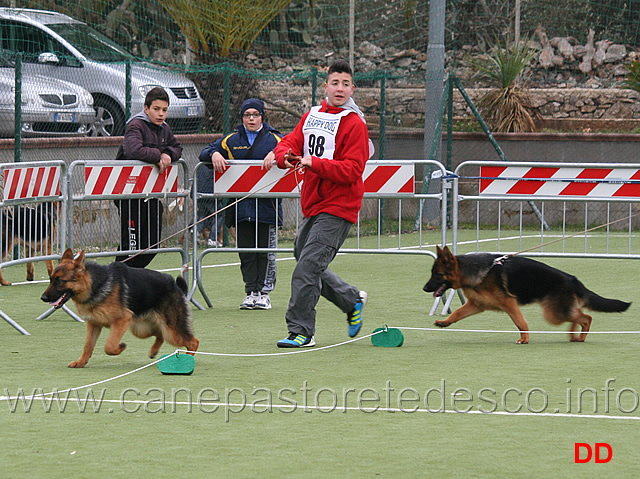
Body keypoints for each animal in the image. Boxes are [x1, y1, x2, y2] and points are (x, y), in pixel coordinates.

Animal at [41, 249, 199, 370]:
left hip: (171, 331)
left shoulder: (121, 320)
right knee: (160, 334)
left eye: (60, 281)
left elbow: (109, 346)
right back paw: (154, 351)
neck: (95, 285)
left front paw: (120, 347)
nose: (43, 297)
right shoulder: (93, 324)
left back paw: (188, 361)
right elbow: (87, 346)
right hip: (141, 329)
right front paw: (81, 362)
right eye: (51, 279)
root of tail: (177, 287)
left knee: (193, 342)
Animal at [424, 248, 632, 344]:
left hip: (553, 314)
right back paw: (574, 336)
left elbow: (520, 322)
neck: (473, 270)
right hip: (558, 312)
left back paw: (578, 337)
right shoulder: (476, 305)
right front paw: (445, 322)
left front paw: (524, 339)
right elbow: (457, 314)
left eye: (437, 275)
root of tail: (572, 279)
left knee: (585, 317)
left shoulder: (509, 303)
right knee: (578, 315)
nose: (424, 288)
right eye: (432, 273)